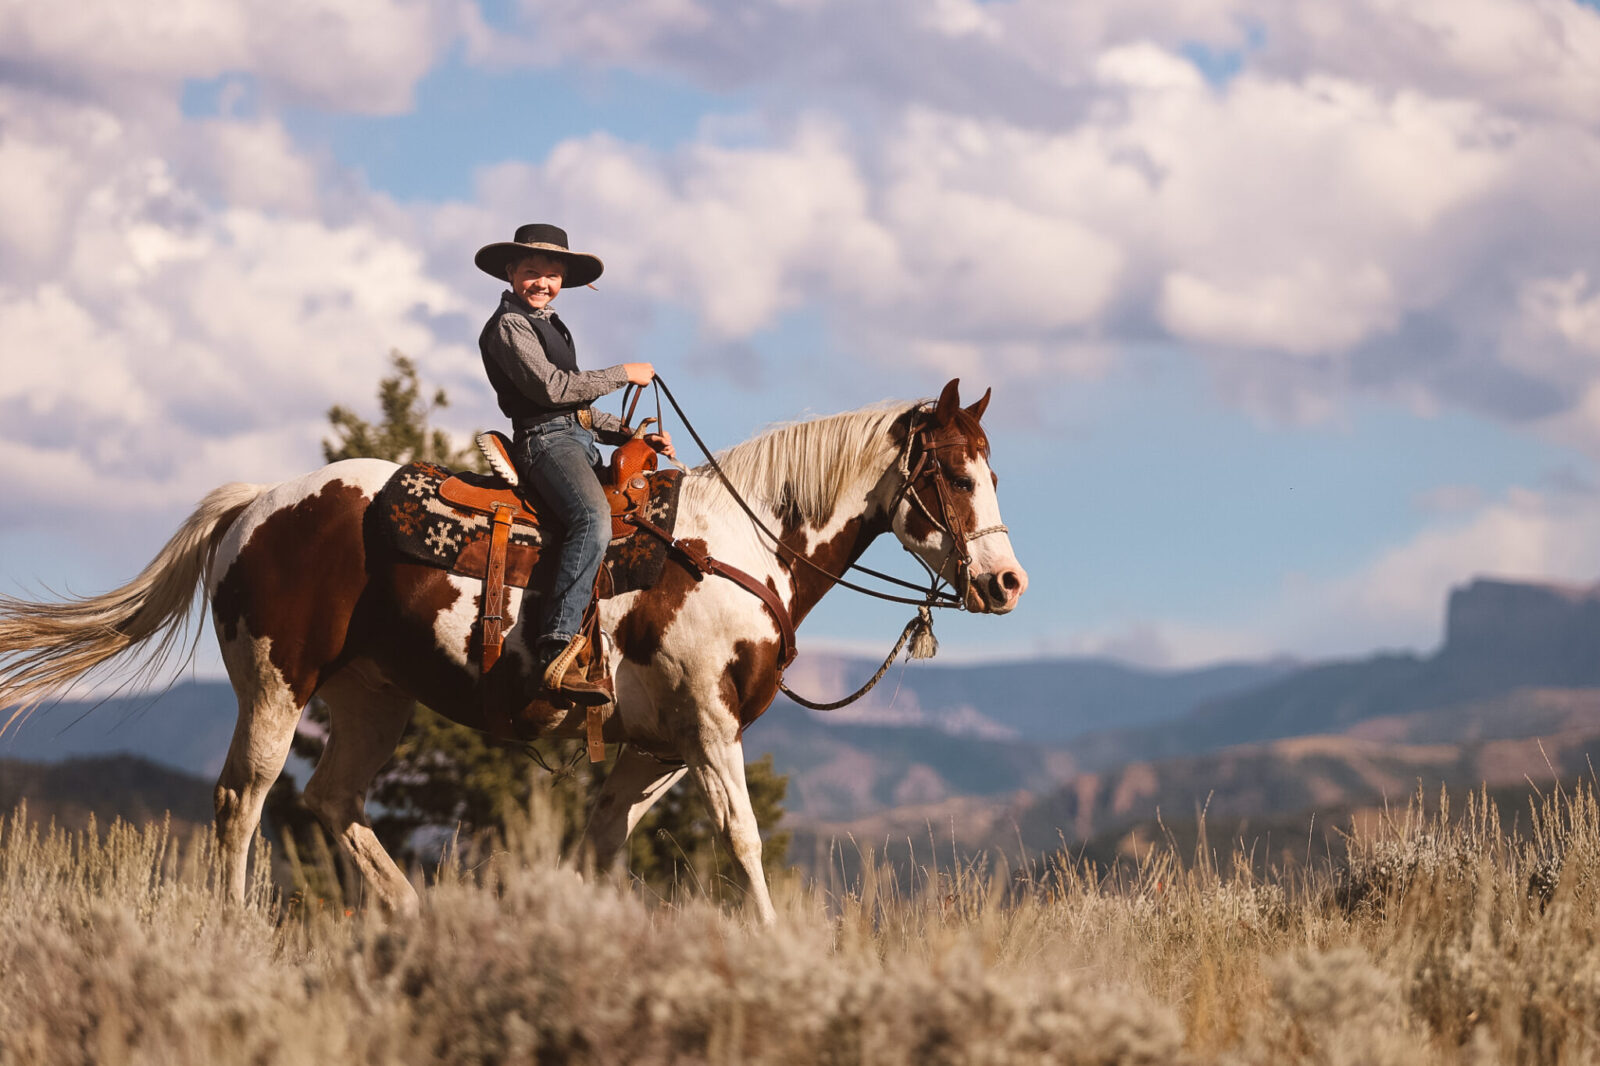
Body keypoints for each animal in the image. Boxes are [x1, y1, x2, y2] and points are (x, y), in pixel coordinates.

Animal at [0, 377, 1024, 915]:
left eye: (992, 468)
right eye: (955, 472)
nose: (1007, 583)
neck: (741, 543)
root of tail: (256, 503)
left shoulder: (656, 750)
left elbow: (599, 849)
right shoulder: (709, 725)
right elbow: (742, 841)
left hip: (375, 697)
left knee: (331, 800)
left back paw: (413, 918)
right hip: (276, 684)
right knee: (242, 801)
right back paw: (237, 922)